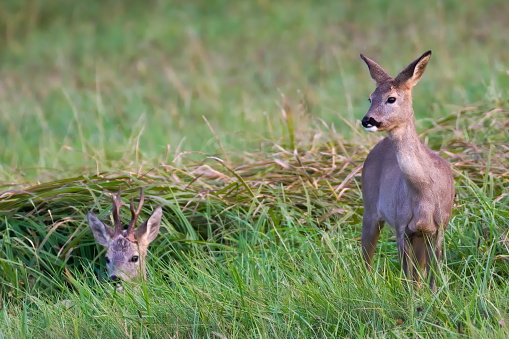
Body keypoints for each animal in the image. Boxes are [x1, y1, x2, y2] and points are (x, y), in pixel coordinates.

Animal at [360, 51, 454, 290]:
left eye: (391, 98)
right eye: (370, 98)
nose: (367, 120)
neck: (425, 192)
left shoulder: (438, 227)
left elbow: (432, 271)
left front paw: (435, 295)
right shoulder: (402, 225)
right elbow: (407, 275)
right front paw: (410, 297)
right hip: (370, 207)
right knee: (366, 256)